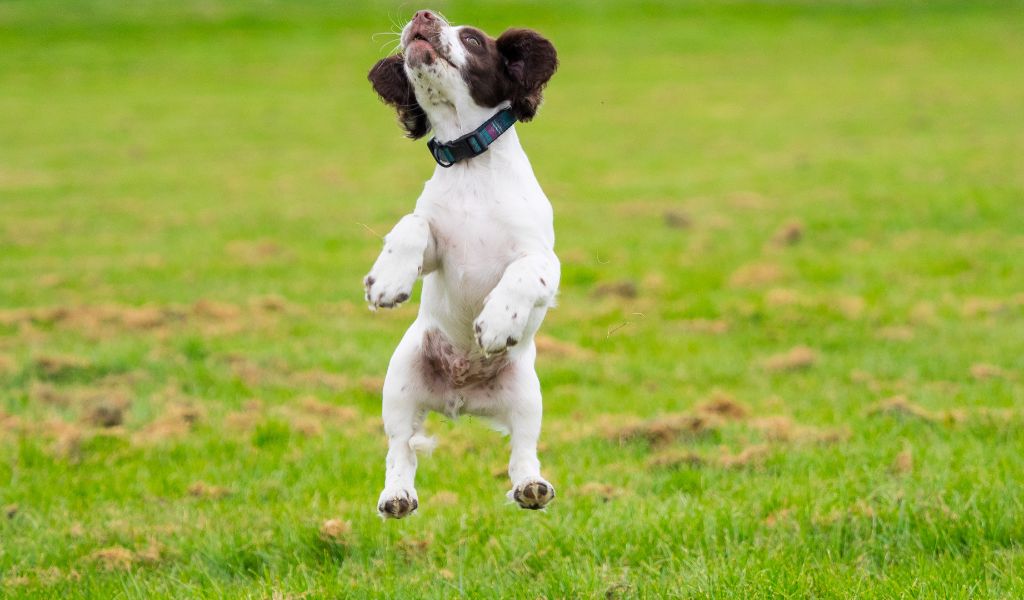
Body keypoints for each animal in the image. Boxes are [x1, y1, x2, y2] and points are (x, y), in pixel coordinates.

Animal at [366, 9, 561, 516]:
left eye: (472, 39)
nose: (422, 14)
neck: (472, 165)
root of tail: (461, 400)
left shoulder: (545, 262)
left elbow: (521, 273)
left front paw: (496, 321)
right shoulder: (435, 248)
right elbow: (413, 224)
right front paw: (387, 280)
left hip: (526, 394)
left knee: (523, 449)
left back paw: (531, 486)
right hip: (401, 379)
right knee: (400, 448)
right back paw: (396, 496)